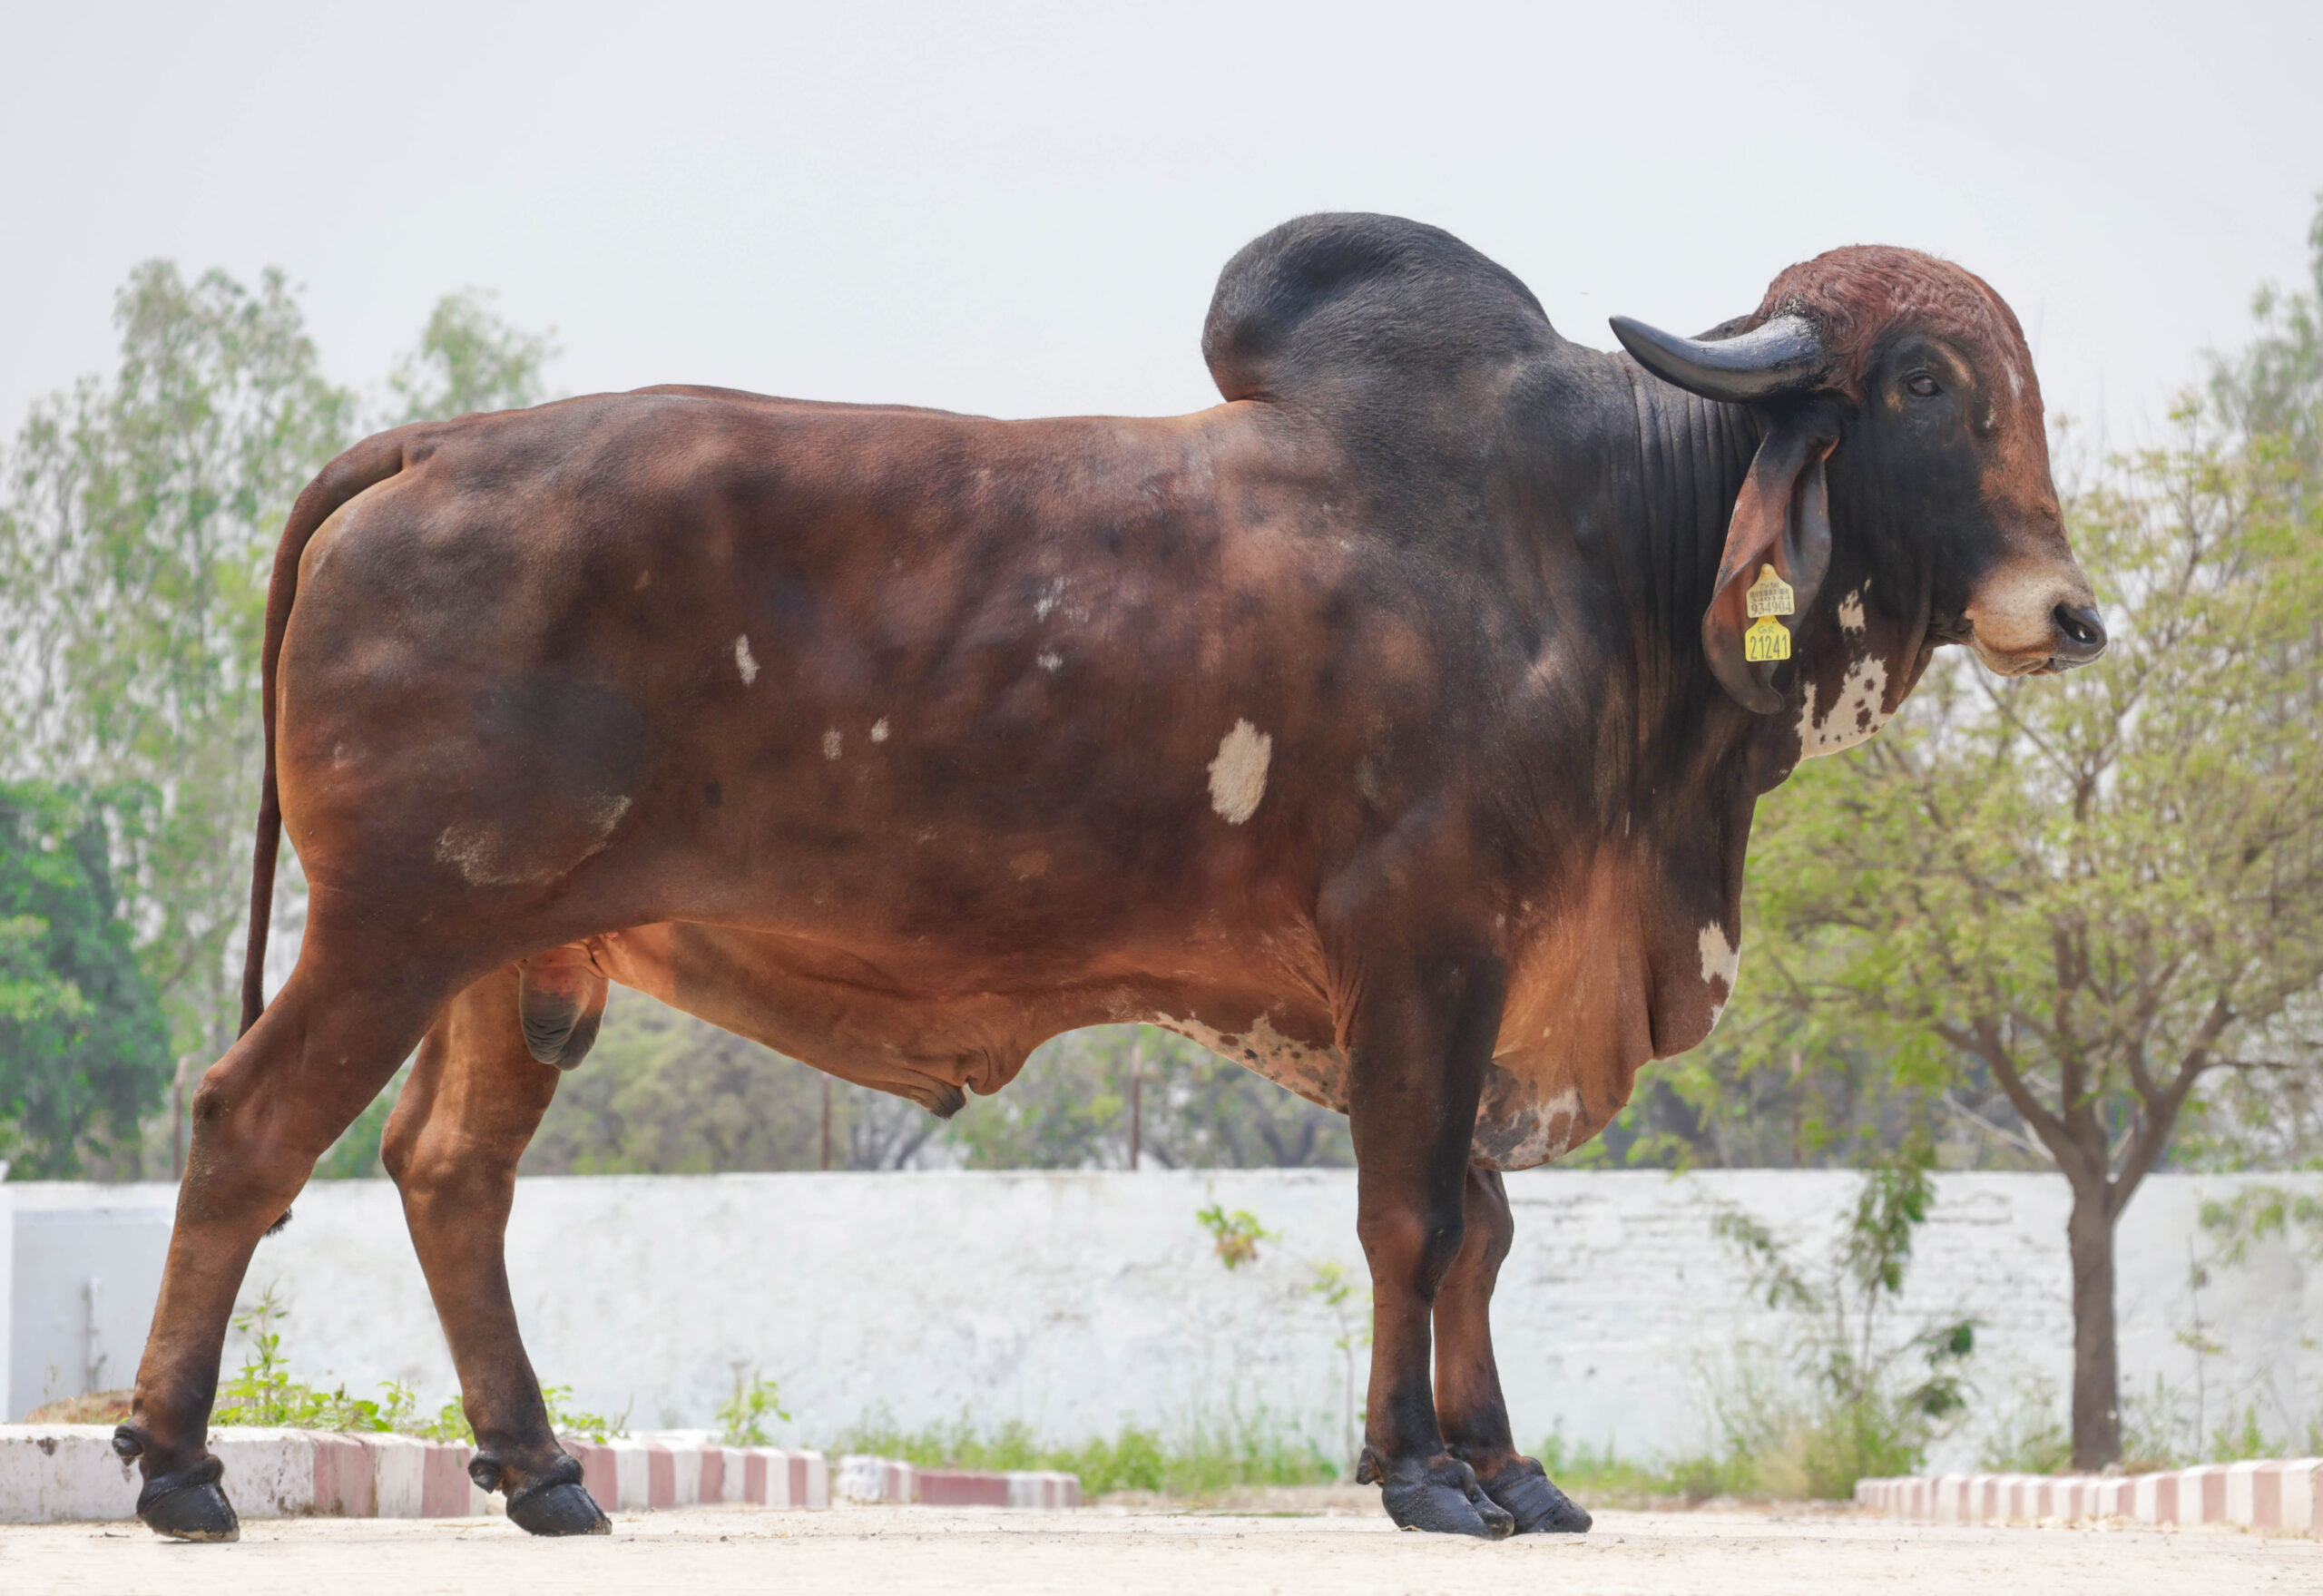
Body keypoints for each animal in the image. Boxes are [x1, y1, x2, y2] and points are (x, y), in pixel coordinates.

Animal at [115, 213, 2102, 1542]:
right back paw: (179, 1463)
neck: (1599, 546)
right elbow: (1416, 1217)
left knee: (450, 1171)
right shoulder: (1426, 946)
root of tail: (430, 441)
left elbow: (1480, 1229)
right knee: (247, 1123)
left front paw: (1508, 1462)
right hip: (394, 920)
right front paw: (1418, 1474)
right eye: (1927, 384)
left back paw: (536, 1469)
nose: (2069, 613)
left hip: (513, 954)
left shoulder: (1478, 971)